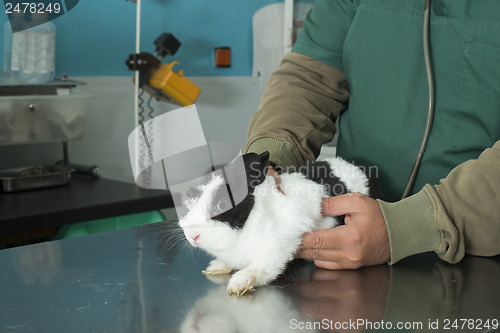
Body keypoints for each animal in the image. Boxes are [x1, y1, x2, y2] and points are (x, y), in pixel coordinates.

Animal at [178, 150, 374, 294]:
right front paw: (217, 266)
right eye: (193, 195)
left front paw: (240, 283)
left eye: (222, 204)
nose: (192, 236)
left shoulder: (280, 247)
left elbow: (261, 266)